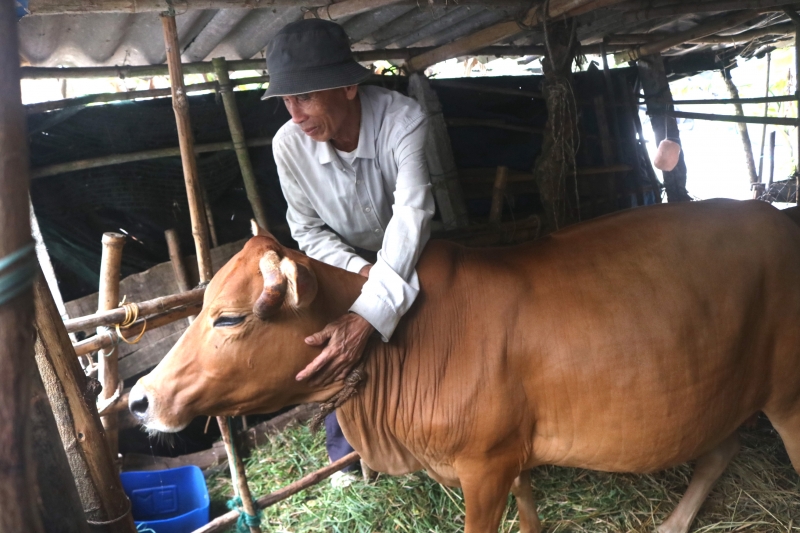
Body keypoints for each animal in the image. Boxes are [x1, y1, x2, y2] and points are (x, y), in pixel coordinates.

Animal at [131, 201, 800, 532]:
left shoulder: (484, 464)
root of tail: (771, 212)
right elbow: (529, 515)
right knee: (719, 449)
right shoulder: (512, 451)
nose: (140, 398)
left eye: (228, 319)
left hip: (787, 395)